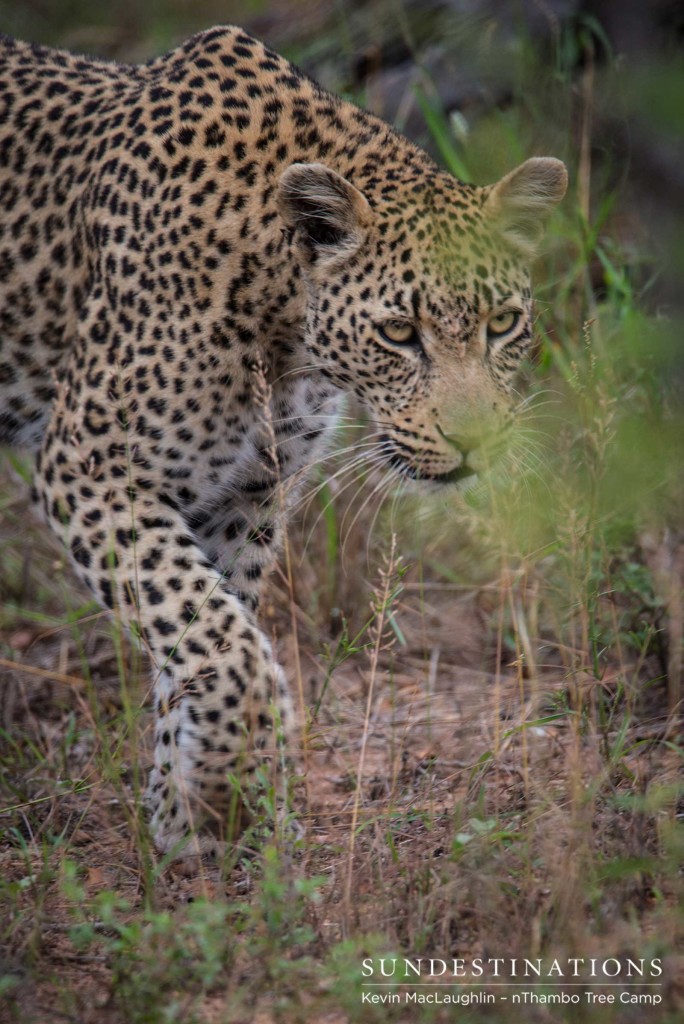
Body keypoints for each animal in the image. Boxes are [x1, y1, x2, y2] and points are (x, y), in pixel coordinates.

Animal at [0, 24, 565, 856]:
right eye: (400, 333)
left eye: (502, 325)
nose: (475, 443)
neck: (281, 327)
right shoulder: (89, 464)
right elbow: (220, 638)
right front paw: (222, 781)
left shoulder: (244, 494)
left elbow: (201, 628)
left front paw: (190, 810)